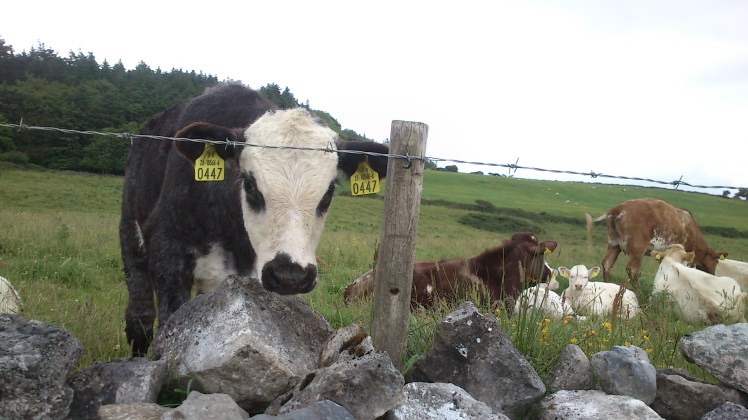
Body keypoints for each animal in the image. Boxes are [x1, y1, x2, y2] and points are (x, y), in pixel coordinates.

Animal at [120, 83, 389, 357]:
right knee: (140, 310)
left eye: (330, 190)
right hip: (131, 231)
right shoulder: (167, 251)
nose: (289, 276)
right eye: (249, 184)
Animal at [585, 198, 726, 293]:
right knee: (632, 270)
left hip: (614, 244)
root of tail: (617, 209)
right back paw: (640, 294)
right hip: (638, 249)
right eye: (716, 261)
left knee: (607, 264)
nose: (714, 274)